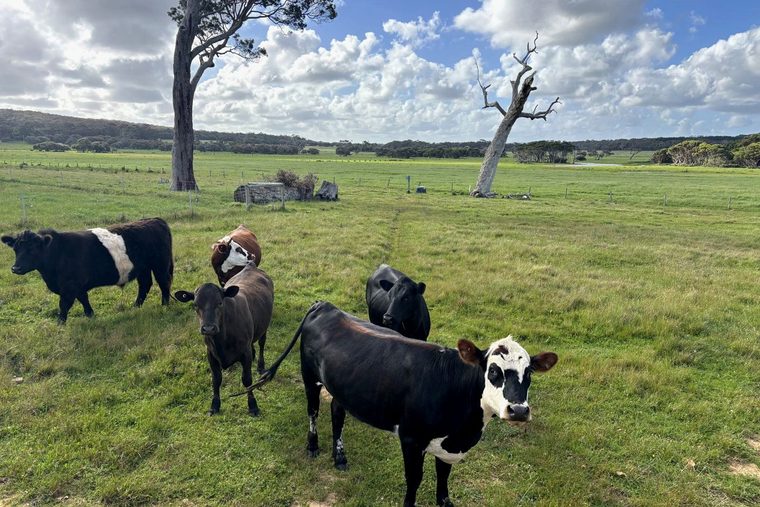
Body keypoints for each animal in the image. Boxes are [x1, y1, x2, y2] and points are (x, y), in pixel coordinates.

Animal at [1, 217, 173, 323]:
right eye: (15, 249)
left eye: (32, 250)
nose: (15, 268)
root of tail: (155, 220)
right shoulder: (77, 286)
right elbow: (84, 300)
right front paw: (91, 316)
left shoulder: (69, 287)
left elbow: (64, 305)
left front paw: (60, 324)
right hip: (143, 268)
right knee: (145, 285)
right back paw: (135, 307)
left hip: (160, 265)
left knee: (163, 283)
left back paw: (165, 306)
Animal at [174, 262, 273, 416]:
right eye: (195, 304)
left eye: (220, 303)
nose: (208, 328)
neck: (221, 340)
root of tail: (250, 265)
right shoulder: (210, 354)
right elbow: (216, 380)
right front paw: (215, 405)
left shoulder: (244, 354)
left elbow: (247, 380)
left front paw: (253, 405)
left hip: (264, 327)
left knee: (262, 344)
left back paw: (260, 365)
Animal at [251, 301, 558, 507]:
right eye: (493, 371)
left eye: (529, 374)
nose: (519, 411)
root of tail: (326, 306)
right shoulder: (411, 439)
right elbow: (414, 480)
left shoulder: (447, 445)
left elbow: (443, 480)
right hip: (309, 376)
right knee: (313, 411)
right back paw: (313, 446)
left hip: (341, 387)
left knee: (336, 414)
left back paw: (340, 457)